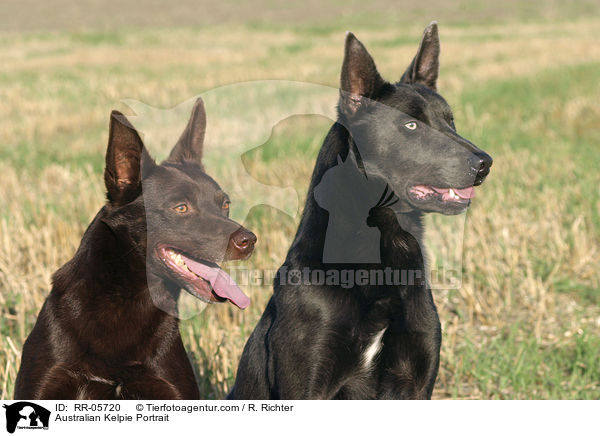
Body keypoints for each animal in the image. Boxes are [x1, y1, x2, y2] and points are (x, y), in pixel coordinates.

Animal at [230, 23, 492, 398]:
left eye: (451, 121)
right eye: (411, 125)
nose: (485, 163)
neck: (382, 244)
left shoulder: (417, 380)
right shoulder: (306, 384)